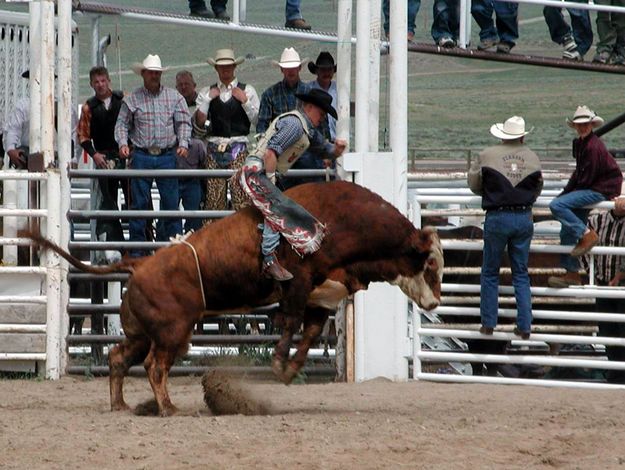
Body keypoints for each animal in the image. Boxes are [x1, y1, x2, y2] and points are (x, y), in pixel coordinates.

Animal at [26, 180, 442, 414]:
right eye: (431, 263)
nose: (436, 303)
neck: (344, 222)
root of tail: (139, 263)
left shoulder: (321, 297)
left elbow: (308, 332)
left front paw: (289, 369)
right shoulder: (300, 282)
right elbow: (291, 323)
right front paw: (278, 363)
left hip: (143, 332)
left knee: (118, 357)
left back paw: (121, 405)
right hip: (172, 332)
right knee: (154, 366)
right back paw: (169, 408)